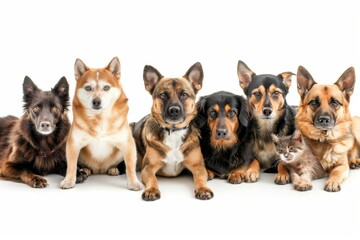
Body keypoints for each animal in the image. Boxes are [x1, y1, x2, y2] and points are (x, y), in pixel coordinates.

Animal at [59, 57, 141, 190]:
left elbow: (130, 166)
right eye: (88, 88)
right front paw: (69, 180)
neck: (100, 118)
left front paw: (133, 182)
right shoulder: (74, 143)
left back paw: (113, 169)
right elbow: (71, 165)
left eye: (106, 87)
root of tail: (99, 170)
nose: (96, 101)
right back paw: (86, 170)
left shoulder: (127, 143)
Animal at [130, 62, 212, 201]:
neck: (173, 131)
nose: (174, 110)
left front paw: (203, 188)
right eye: (163, 95)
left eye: (184, 95)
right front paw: (151, 190)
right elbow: (152, 179)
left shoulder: (198, 166)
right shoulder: (148, 168)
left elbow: (200, 178)